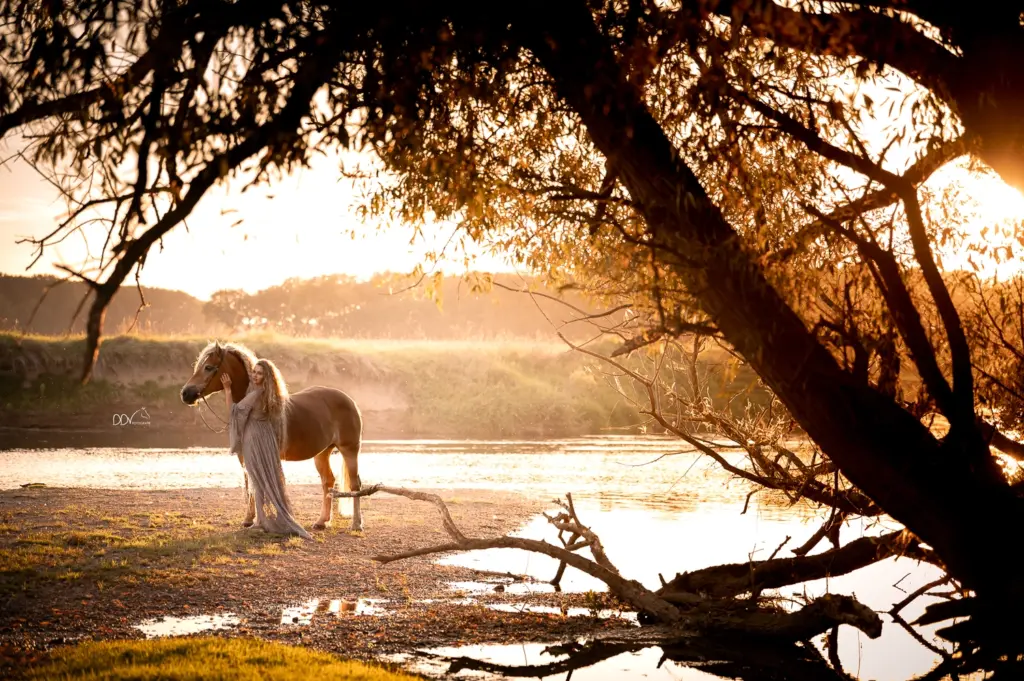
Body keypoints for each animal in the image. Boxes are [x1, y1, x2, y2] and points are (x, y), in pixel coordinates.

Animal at [181, 339, 364, 532]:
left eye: (208, 367)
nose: (185, 393)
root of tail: (349, 400)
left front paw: (262, 521)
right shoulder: (246, 457)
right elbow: (251, 485)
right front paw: (249, 520)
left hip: (350, 450)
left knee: (355, 484)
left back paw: (356, 524)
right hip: (322, 453)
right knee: (328, 481)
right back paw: (322, 521)